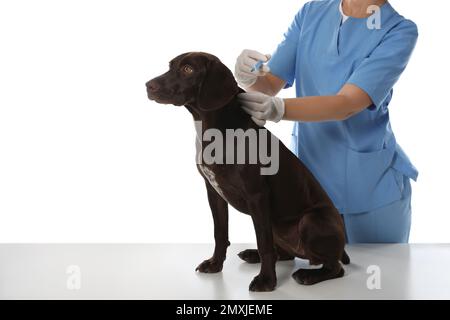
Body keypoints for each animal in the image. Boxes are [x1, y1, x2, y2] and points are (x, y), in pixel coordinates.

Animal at [146, 52, 350, 292]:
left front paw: (266, 281)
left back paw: (308, 275)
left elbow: (263, 242)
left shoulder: (257, 195)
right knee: (286, 254)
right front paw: (215, 264)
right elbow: (220, 233)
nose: (148, 85)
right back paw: (253, 255)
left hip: (310, 221)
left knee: (335, 267)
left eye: (188, 69)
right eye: (170, 66)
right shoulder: (214, 192)